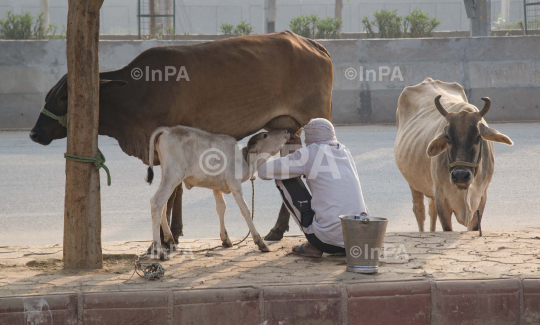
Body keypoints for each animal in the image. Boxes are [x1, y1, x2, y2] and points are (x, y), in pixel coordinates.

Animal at [30, 30, 334, 242]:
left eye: (64, 97)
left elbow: (172, 192)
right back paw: (278, 229)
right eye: (49, 95)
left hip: (316, 117)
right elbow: (173, 191)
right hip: (288, 127)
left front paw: (166, 239)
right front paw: (172, 233)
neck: (137, 93)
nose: (34, 133)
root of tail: (312, 43)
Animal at [143, 125, 286, 256]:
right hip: (173, 175)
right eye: (265, 135)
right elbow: (245, 210)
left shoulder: (216, 187)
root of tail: (167, 129)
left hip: (169, 177)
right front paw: (260, 242)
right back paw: (158, 250)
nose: (285, 131)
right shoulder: (235, 185)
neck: (243, 159)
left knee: (163, 205)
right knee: (156, 202)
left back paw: (170, 239)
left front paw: (225, 239)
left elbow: (221, 207)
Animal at [394, 78, 512, 230]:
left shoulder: (481, 198)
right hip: (413, 183)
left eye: (478, 137)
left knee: (431, 210)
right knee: (419, 210)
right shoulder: (441, 199)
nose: (460, 175)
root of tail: (428, 81)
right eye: (447, 138)